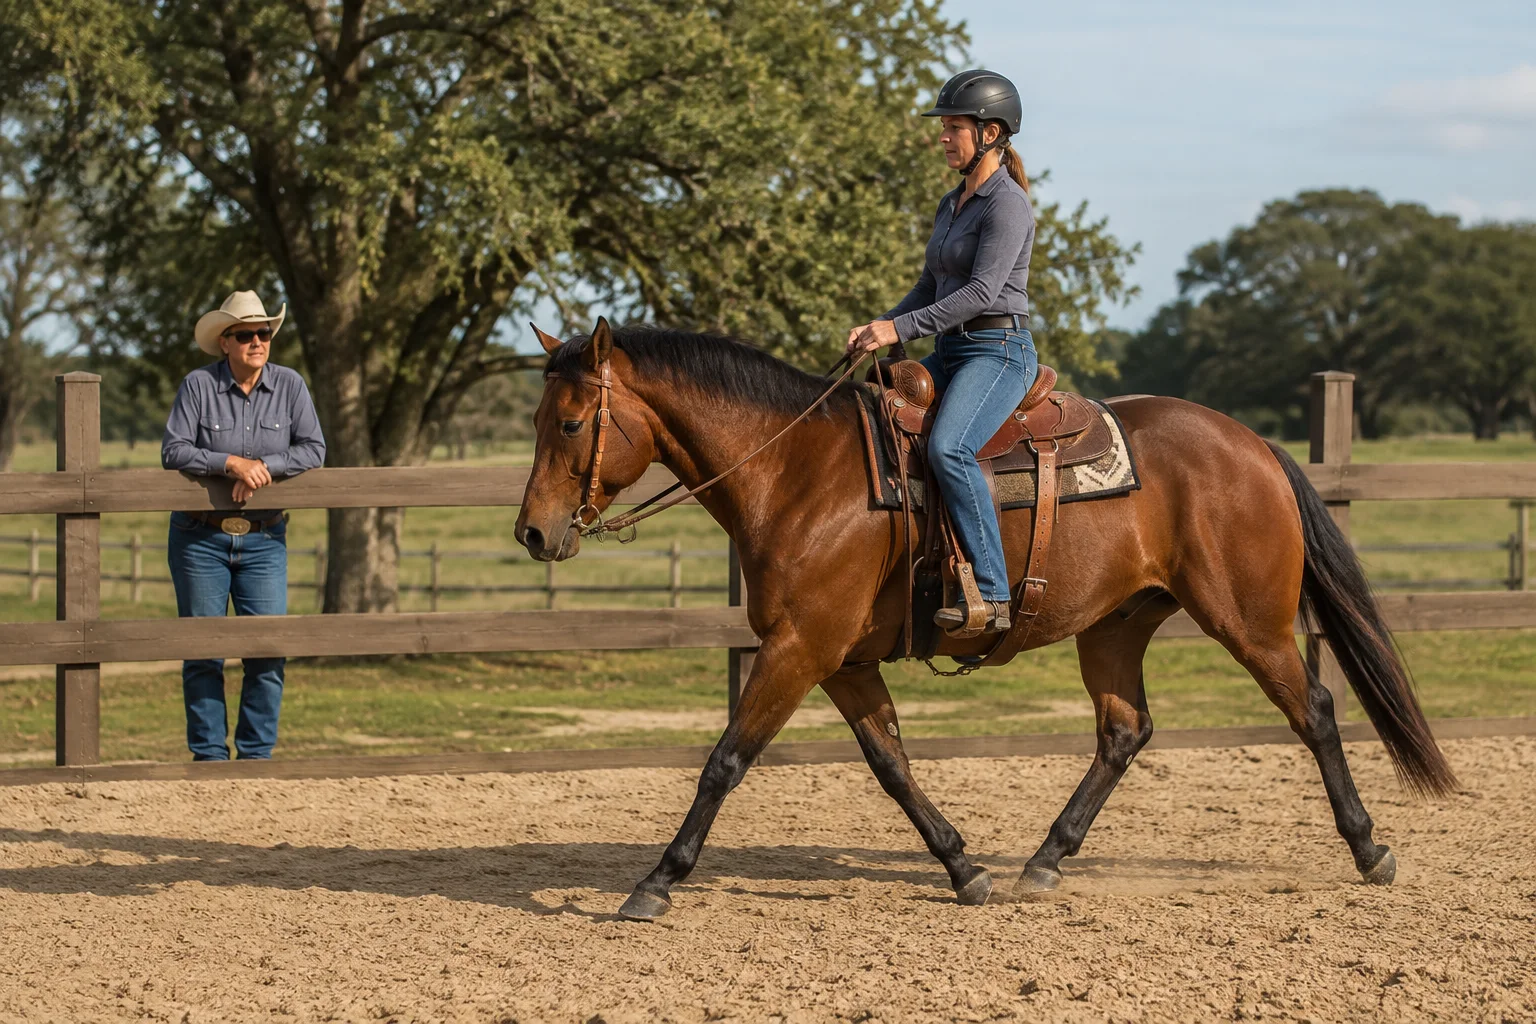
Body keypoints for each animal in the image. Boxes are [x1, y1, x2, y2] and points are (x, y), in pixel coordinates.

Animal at [513, 318, 1456, 920]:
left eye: (572, 421)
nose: (532, 532)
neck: (797, 472)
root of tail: (1252, 444)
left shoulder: (798, 650)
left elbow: (725, 761)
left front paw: (656, 882)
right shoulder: (842, 661)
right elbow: (891, 765)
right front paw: (964, 867)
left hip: (1249, 621)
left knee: (1315, 711)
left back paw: (1369, 849)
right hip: (1115, 626)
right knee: (1124, 732)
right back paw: (1044, 861)